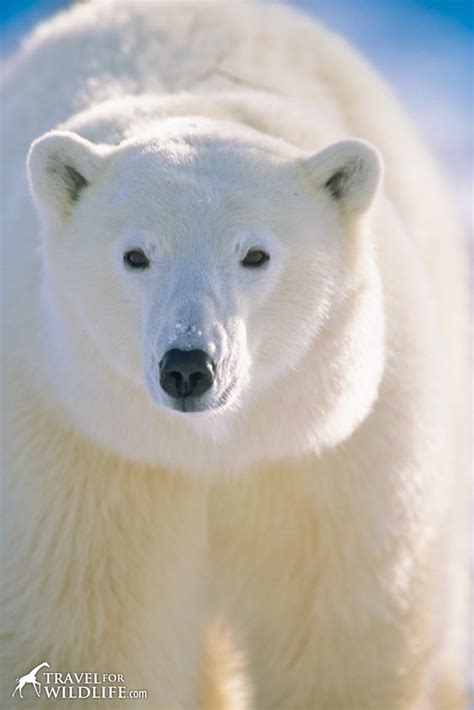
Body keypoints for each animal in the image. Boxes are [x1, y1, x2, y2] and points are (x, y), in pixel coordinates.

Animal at [0, 0, 468, 708]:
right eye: (136, 254)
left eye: (255, 254)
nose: (188, 367)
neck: (216, 448)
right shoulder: (79, 455)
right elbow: (95, 639)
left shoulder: (334, 467)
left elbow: (339, 649)